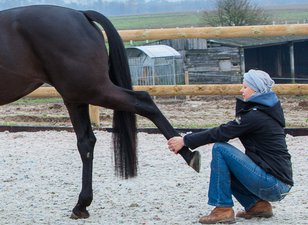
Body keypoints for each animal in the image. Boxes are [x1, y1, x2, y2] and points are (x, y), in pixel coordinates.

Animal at [0, 5, 200, 219]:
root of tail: (80, 15)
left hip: (90, 90)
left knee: (143, 101)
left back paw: (187, 152)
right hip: (76, 97)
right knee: (86, 142)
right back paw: (82, 204)